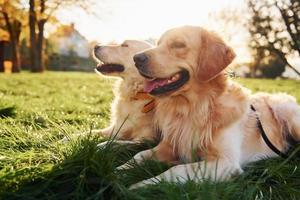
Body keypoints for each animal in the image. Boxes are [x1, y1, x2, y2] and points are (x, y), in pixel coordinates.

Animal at [118, 25, 300, 188]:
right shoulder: (169, 145)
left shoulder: (225, 162)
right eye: (158, 43)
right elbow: (138, 155)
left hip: (288, 114)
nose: (136, 58)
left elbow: (175, 170)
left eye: (178, 44)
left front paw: (136, 186)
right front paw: (117, 171)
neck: (194, 107)